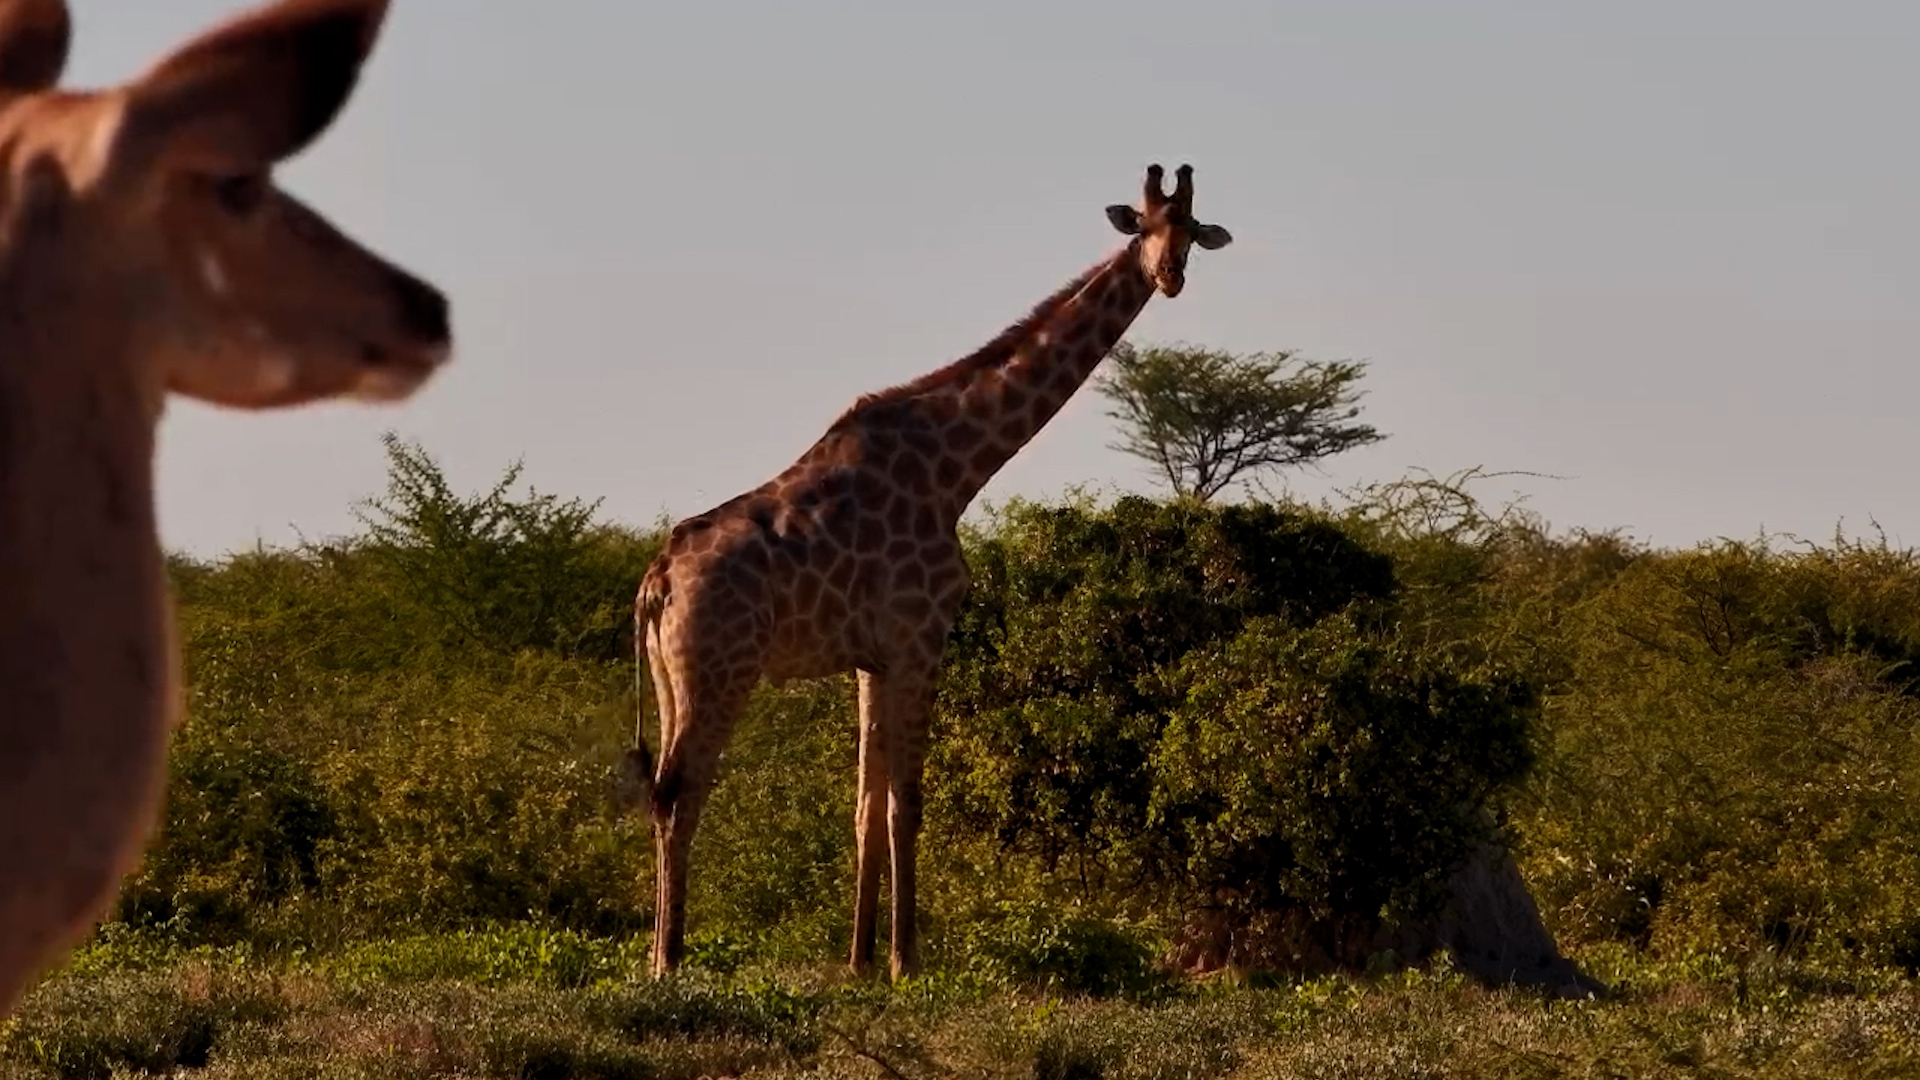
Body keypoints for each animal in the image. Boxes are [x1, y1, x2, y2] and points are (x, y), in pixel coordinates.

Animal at [616, 164, 1233, 978]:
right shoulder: (921, 640)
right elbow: (908, 803)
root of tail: (656, 584)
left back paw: (664, 952)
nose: (1170, 276)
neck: (957, 468)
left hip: (670, 678)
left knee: (662, 792)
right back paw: (669, 960)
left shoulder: (872, 659)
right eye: (1145, 227)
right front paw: (907, 961)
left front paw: (859, 961)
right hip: (721, 672)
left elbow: (864, 807)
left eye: (1190, 230)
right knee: (682, 793)